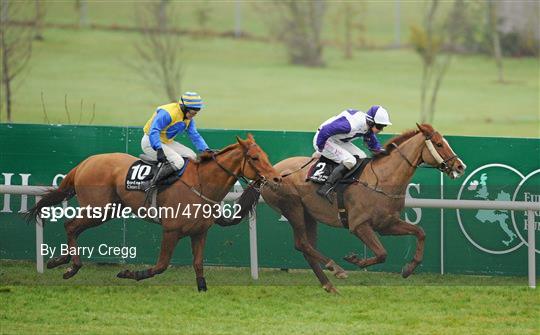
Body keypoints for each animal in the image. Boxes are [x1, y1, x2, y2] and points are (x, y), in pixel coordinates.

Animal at [26, 134, 280, 292]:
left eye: (266, 155)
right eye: (255, 157)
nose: (276, 178)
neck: (201, 184)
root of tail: (86, 162)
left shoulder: (199, 233)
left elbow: (198, 263)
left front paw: (202, 289)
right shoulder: (171, 230)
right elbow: (161, 265)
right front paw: (130, 273)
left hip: (107, 210)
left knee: (73, 228)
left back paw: (60, 261)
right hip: (97, 209)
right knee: (70, 226)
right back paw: (71, 266)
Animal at [226, 124, 466, 292]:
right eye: (439, 144)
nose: (460, 166)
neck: (382, 179)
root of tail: (268, 173)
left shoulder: (387, 223)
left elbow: (420, 232)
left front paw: (409, 268)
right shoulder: (359, 225)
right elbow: (382, 253)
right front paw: (355, 259)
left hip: (308, 214)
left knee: (306, 247)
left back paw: (329, 284)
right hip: (292, 207)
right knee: (302, 243)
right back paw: (336, 269)